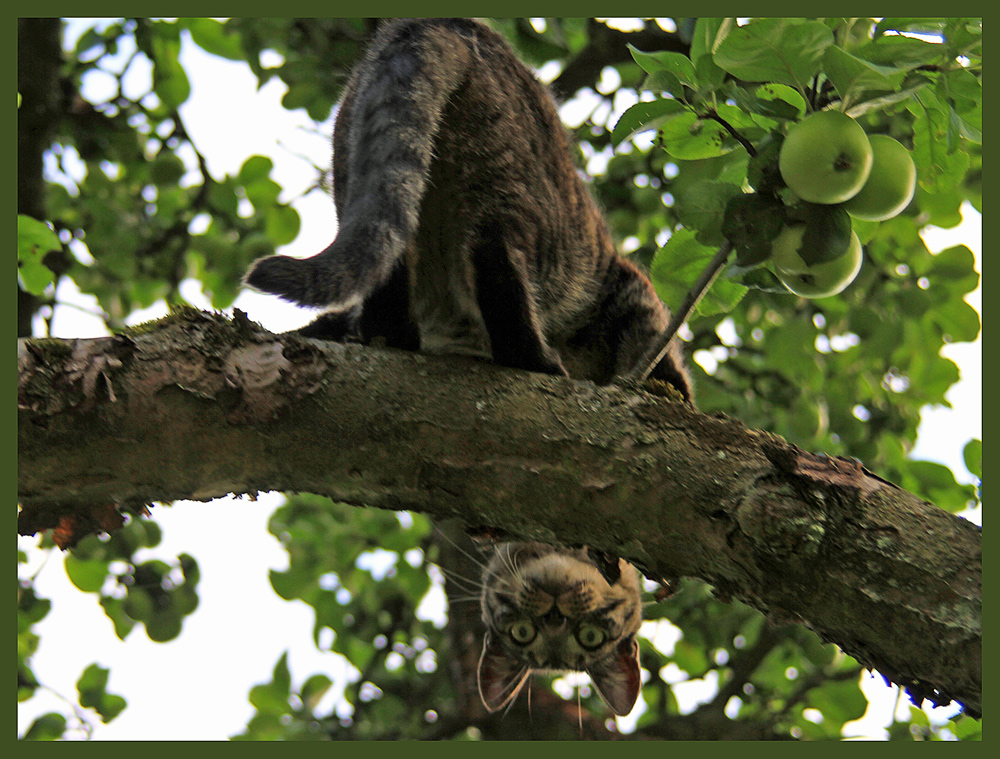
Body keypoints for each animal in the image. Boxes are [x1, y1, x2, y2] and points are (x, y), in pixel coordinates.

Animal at [241, 17, 688, 720]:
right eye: (525, 634)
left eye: (588, 637)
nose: (555, 613)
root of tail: (437, 24)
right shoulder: (627, 290)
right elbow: (662, 353)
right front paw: (670, 393)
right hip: (526, 207)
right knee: (497, 261)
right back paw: (534, 358)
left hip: (361, 159)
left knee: (387, 262)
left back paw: (393, 334)